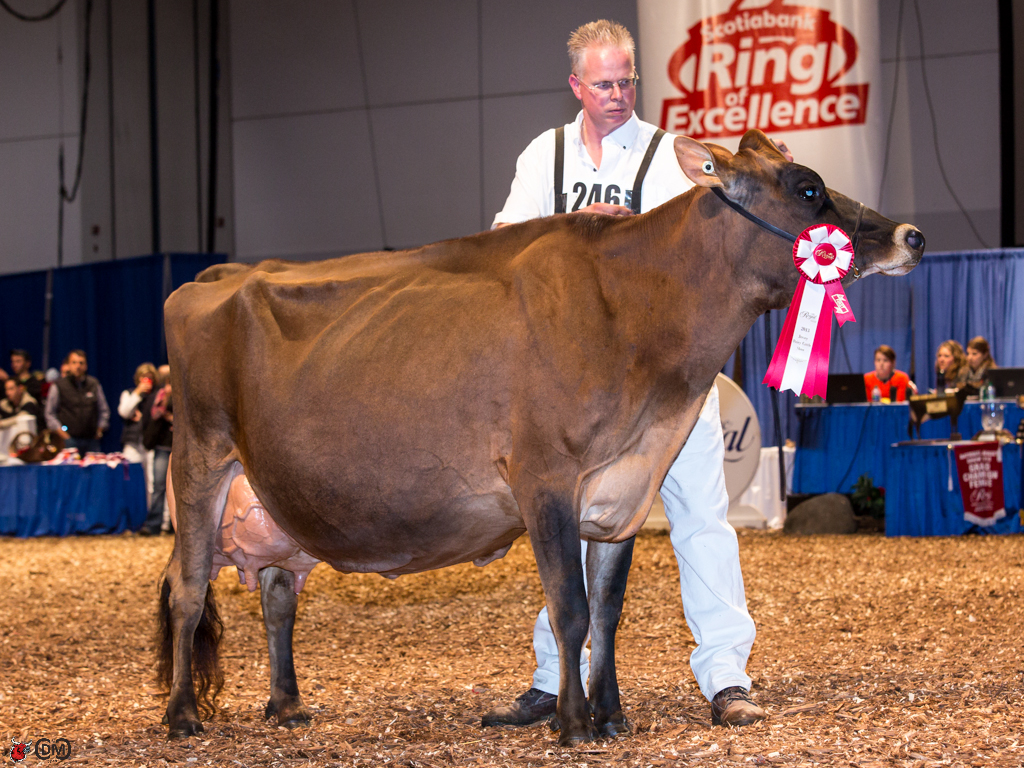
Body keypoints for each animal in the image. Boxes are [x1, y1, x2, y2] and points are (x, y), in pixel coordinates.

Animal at [157, 130, 924, 745]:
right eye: (807, 188)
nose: (912, 235)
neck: (639, 315)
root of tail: (213, 275)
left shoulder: (622, 494)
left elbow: (607, 614)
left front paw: (614, 716)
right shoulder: (545, 478)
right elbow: (571, 612)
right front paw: (575, 724)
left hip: (272, 497)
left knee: (277, 592)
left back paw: (286, 706)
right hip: (199, 459)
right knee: (188, 590)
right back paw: (182, 715)